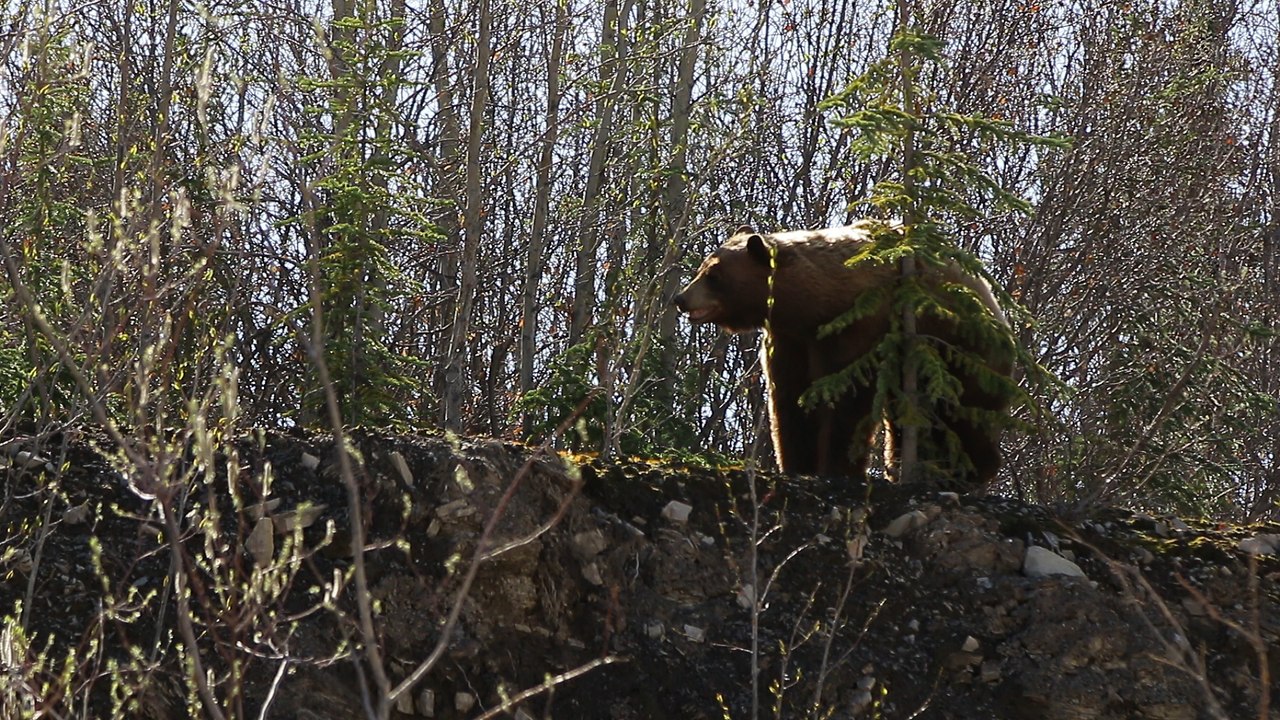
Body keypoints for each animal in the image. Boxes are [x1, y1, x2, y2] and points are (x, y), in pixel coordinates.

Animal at [672, 221, 1016, 486]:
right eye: (703, 267)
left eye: (713, 275)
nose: (680, 298)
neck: (815, 308)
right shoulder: (790, 340)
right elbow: (789, 398)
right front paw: (798, 464)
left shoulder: (858, 327)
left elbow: (846, 399)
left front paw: (836, 468)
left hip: (961, 356)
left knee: (962, 416)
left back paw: (964, 474)